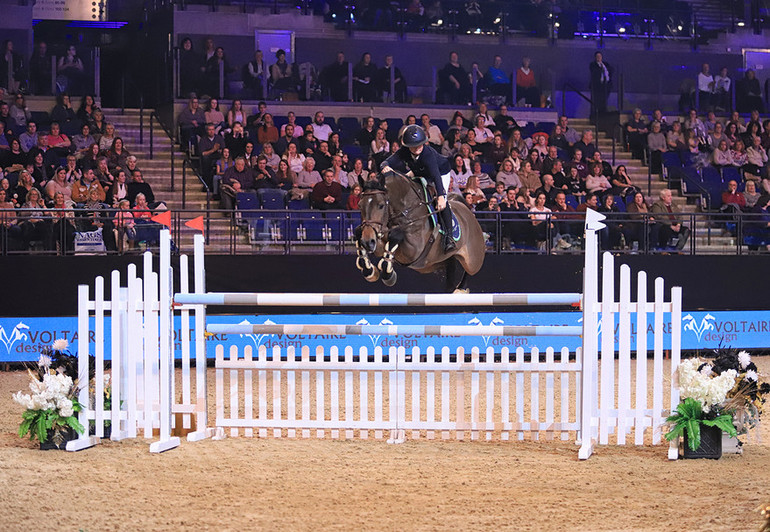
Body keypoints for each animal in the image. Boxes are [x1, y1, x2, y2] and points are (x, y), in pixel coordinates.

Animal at [352, 167, 484, 290]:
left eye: (381, 205)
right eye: (359, 205)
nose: (368, 242)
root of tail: (469, 212)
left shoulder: (413, 249)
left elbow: (395, 235)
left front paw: (388, 275)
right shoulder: (379, 238)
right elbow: (360, 233)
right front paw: (369, 270)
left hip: (473, 260)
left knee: (471, 270)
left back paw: (461, 289)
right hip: (434, 263)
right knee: (451, 267)